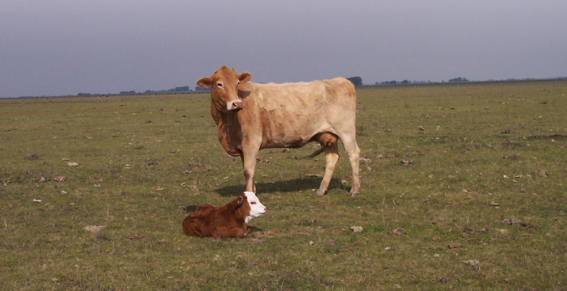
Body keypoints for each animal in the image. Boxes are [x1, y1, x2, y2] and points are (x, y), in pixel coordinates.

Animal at [197, 66, 362, 197]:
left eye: (237, 83)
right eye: (219, 84)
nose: (236, 103)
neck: (225, 124)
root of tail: (340, 80)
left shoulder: (252, 142)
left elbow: (248, 170)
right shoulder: (243, 147)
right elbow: (247, 170)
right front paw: (252, 191)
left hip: (345, 130)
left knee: (353, 154)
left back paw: (354, 189)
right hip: (328, 136)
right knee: (332, 158)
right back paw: (321, 190)